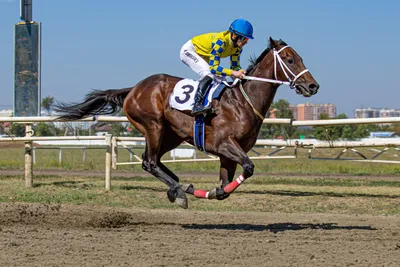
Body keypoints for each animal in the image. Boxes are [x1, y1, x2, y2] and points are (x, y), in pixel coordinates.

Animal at [54, 37, 320, 209]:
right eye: (289, 59)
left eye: (300, 57)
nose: (312, 85)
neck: (242, 101)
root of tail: (133, 89)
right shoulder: (223, 144)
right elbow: (249, 167)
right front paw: (203, 191)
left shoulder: (229, 154)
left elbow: (225, 187)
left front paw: (210, 191)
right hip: (153, 126)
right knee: (150, 162)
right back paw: (179, 191)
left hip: (172, 135)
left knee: (152, 161)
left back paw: (180, 187)